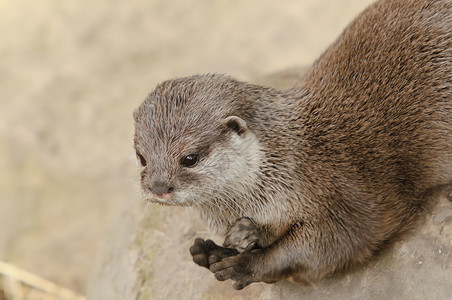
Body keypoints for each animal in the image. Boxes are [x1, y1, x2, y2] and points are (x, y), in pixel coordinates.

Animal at [132, 0, 450, 290]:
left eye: (190, 158)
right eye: (142, 157)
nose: (158, 188)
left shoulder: (336, 193)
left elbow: (339, 241)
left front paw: (246, 263)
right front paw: (222, 246)